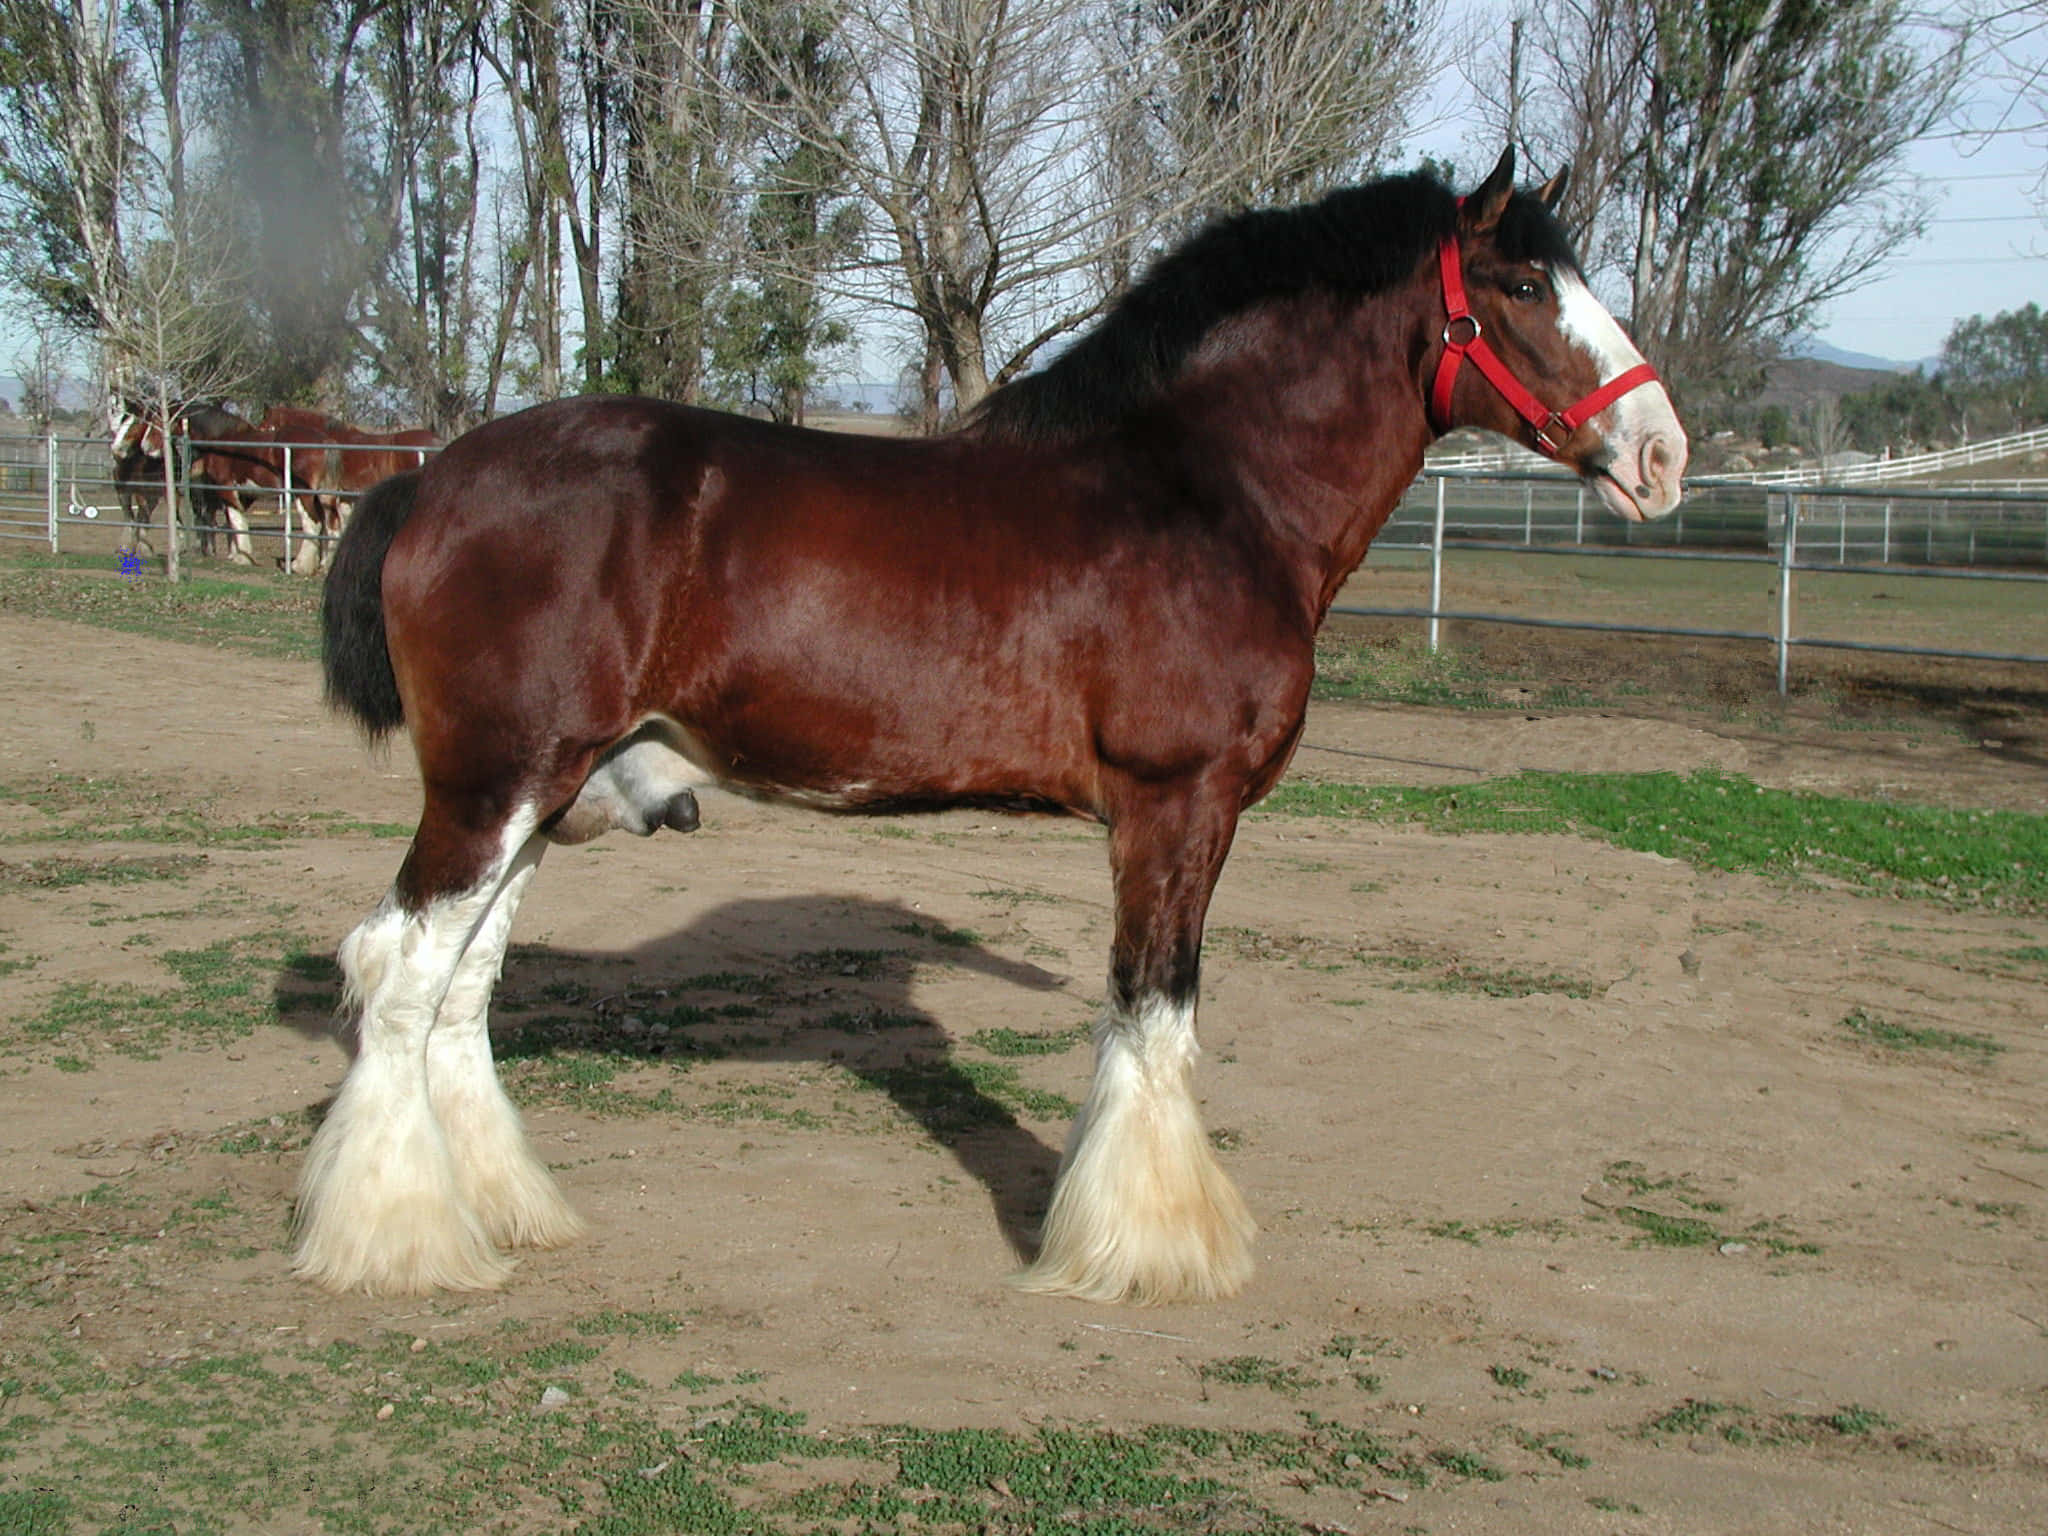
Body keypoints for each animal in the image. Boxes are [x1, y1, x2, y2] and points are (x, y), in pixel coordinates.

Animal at [298, 150, 1687, 1303]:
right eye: (1521, 283)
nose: (1661, 455)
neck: (1204, 493)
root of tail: (433, 480)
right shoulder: (1175, 805)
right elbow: (1153, 1015)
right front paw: (1152, 1251)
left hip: (539, 797)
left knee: (458, 994)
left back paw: (502, 1214)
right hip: (493, 791)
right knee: (399, 974)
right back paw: (397, 1246)